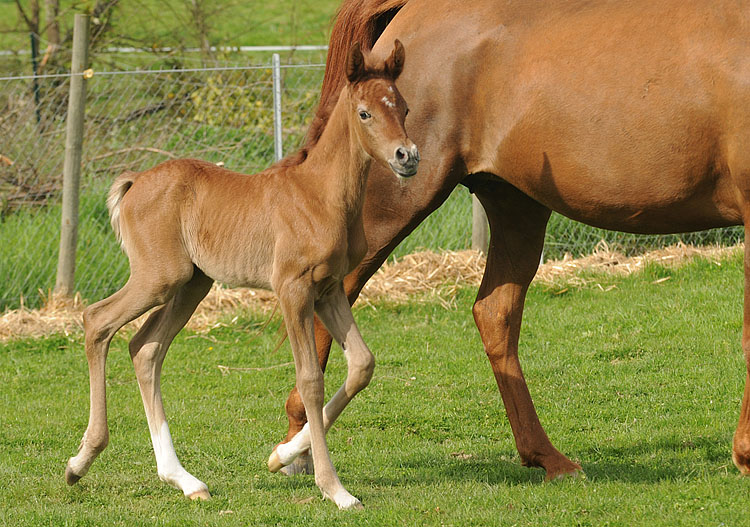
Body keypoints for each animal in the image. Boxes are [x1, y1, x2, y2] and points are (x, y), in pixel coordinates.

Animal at [65, 41, 420, 512]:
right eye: (364, 113)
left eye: (404, 107)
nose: (408, 157)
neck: (320, 195)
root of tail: (136, 180)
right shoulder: (293, 290)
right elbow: (310, 380)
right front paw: (335, 489)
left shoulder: (329, 290)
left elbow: (361, 364)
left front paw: (282, 455)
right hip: (160, 278)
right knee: (98, 320)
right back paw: (80, 461)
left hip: (192, 284)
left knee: (145, 349)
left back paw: (183, 479)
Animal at [274, 0, 750, 480]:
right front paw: (744, 452)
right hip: (391, 207)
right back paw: (299, 447)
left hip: (516, 206)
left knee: (495, 315)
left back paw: (547, 457)